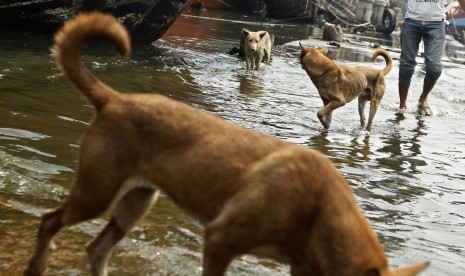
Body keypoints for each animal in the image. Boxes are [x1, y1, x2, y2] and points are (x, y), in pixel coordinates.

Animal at [25, 12, 428, 276]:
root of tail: (114, 99)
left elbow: (323, 110)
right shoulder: (221, 239)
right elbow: (321, 111)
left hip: (133, 201)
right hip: (99, 193)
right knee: (51, 222)